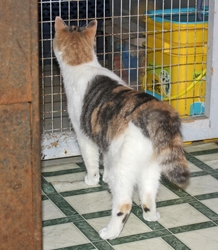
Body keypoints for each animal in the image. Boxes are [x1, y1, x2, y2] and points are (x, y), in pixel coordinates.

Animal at [52, 17, 189, 240]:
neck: (83, 63)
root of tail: (154, 111)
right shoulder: (108, 142)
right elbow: (107, 160)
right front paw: (106, 176)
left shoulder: (84, 137)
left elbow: (91, 162)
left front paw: (92, 180)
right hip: (151, 167)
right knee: (148, 195)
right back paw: (151, 216)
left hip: (125, 168)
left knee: (124, 204)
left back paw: (109, 232)